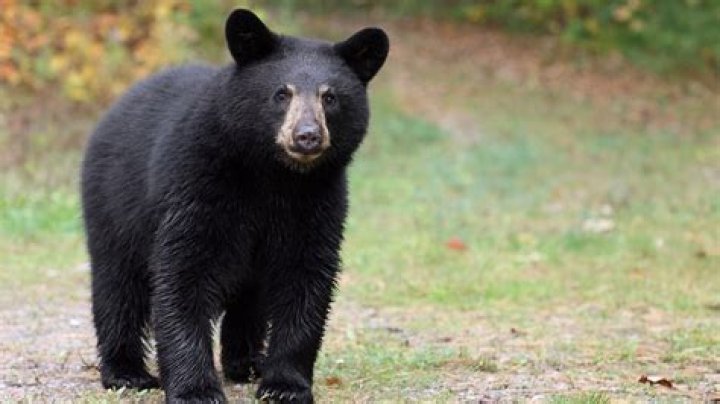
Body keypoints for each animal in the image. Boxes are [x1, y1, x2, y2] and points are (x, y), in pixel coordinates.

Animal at [80, 9, 388, 403]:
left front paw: (285, 385)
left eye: (330, 97)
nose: (307, 136)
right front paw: (196, 389)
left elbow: (306, 276)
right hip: (113, 204)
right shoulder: (196, 182)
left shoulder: (318, 199)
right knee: (118, 285)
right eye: (281, 93)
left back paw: (247, 362)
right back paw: (126, 372)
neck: (273, 175)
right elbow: (184, 271)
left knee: (249, 298)